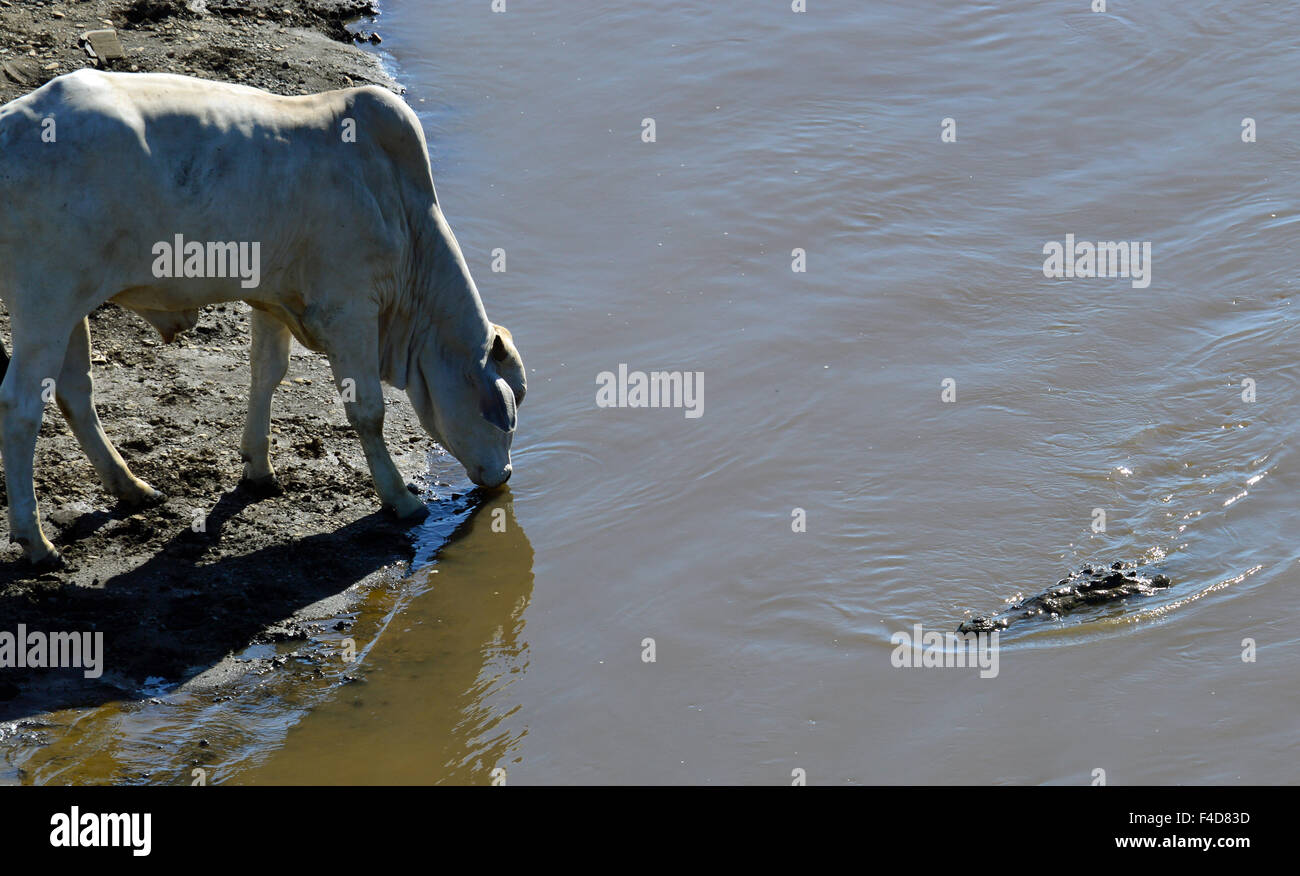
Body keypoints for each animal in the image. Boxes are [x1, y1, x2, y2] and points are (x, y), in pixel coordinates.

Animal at [0, 66, 522, 558]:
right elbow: (367, 410)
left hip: (72, 307)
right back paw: (36, 542)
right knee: (21, 405)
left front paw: (259, 468)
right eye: (509, 416)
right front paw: (400, 499)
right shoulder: (350, 310)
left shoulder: (274, 296)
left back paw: (131, 487)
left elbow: (267, 373)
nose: (504, 476)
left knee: (75, 391)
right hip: (45, 303)